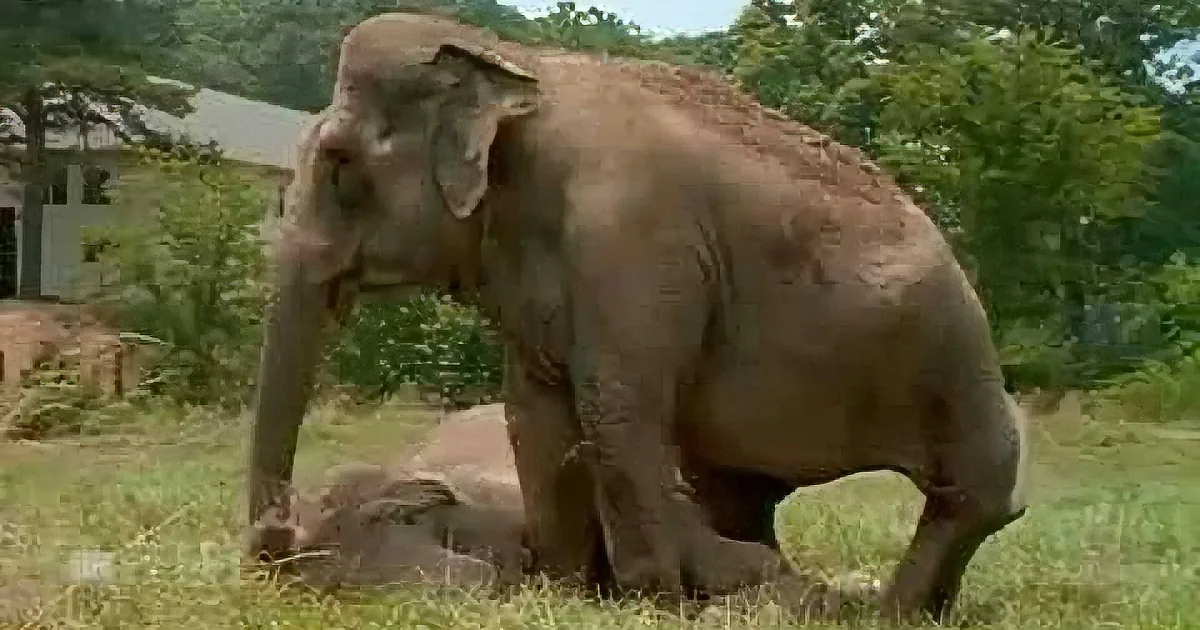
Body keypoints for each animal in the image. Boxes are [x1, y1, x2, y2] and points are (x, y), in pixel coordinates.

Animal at [243, 11, 1032, 624]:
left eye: (340, 163)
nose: (283, 526)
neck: (514, 64)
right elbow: (534, 412)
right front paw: (564, 592)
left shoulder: (634, 236)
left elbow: (617, 408)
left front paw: (649, 604)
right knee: (738, 490)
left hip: (952, 349)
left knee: (974, 494)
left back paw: (889, 610)